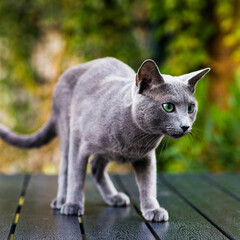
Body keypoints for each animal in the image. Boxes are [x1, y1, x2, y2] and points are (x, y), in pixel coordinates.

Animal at [0, 57, 209, 221]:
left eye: (190, 108)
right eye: (168, 107)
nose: (185, 126)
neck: (134, 138)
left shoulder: (146, 157)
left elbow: (148, 185)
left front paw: (153, 209)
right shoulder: (79, 143)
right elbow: (76, 176)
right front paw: (73, 205)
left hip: (107, 151)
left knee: (96, 168)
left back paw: (114, 197)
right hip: (66, 131)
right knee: (66, 168)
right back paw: (62, 200)